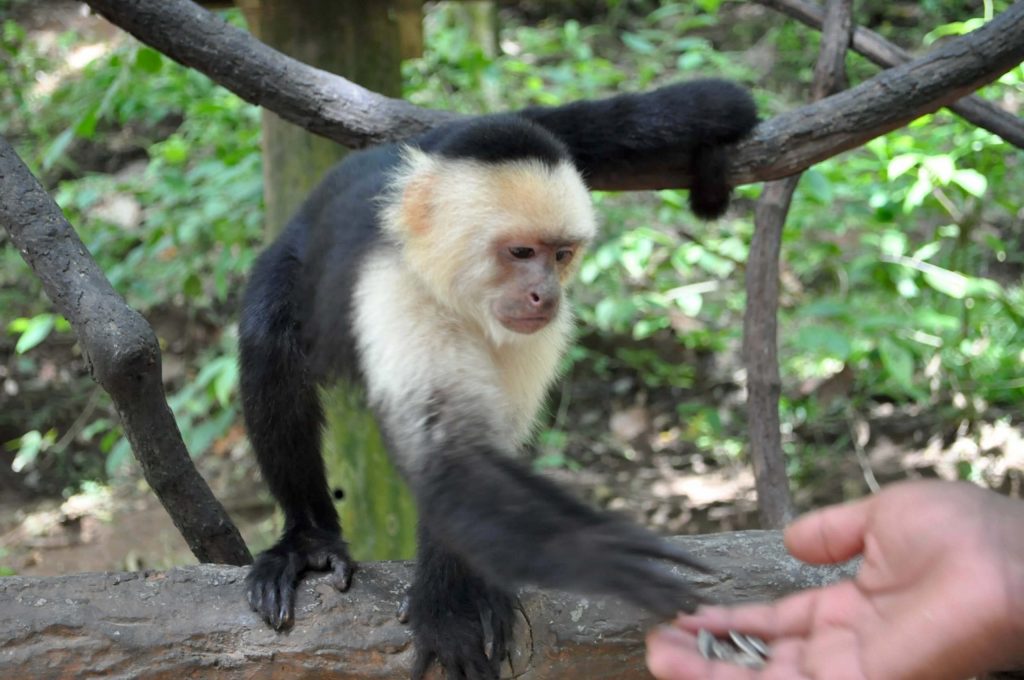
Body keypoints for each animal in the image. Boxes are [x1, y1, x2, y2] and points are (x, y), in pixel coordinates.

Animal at [239, 79, 757, 680]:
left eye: (561, 255)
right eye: (521, 252)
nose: (545, 294)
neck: (462, 300)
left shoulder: (537, 334)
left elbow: (474, 459)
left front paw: (461, 597)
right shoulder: (398, 287)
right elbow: (449, 461)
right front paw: (586, 555)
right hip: (294, 255)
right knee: (270, 344)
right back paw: (308, 539)